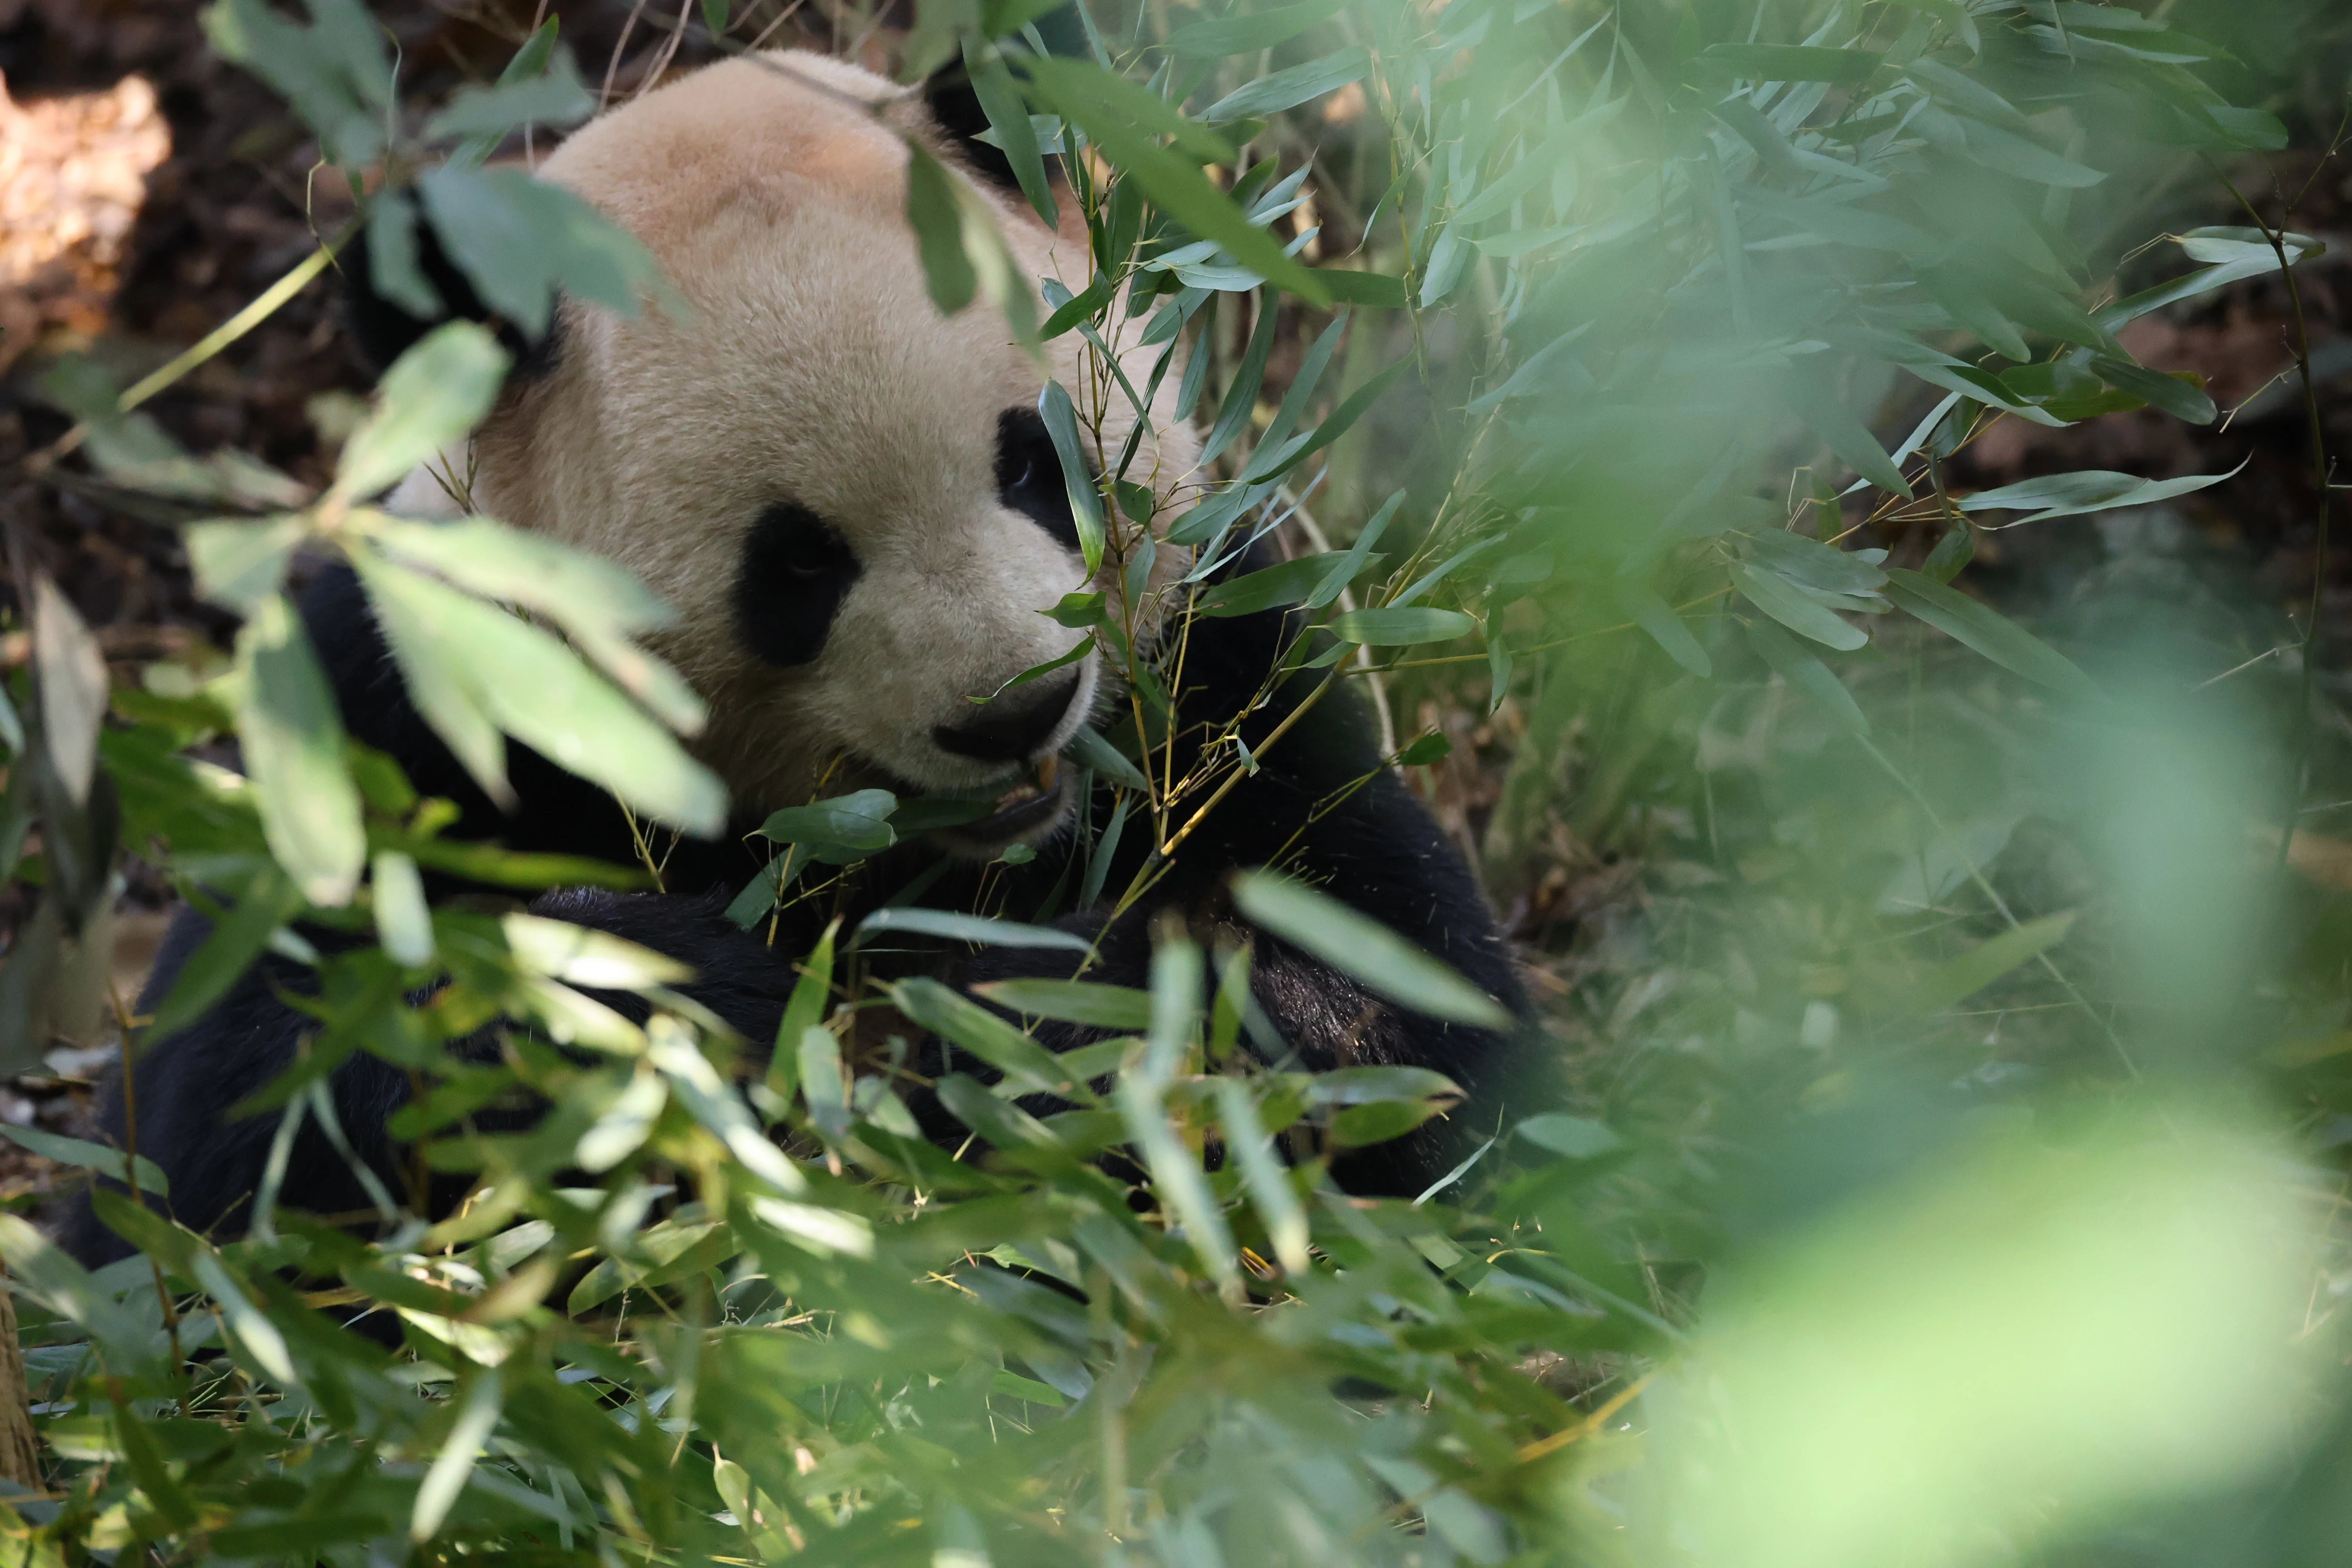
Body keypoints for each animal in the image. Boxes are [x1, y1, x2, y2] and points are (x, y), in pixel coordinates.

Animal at [64, 47, 1532, 1264]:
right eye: (797, 566)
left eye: (1034, 461)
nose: (1015, 715)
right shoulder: (407, 700)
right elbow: (229, 1133)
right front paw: (705, 995)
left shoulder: (1217, 671)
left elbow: (1409, 1017)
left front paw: (1009, 1016)